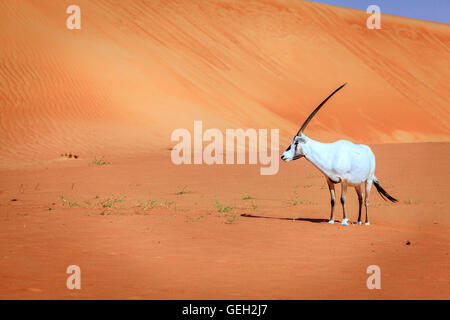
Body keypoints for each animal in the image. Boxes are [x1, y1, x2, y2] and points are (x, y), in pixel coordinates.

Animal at [282, 84, 398, 226]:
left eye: (296, 142)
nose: (283, 156)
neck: (329, 154)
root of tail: (369, 151)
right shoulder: (329, 180)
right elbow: (333, 199)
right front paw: (331, 220)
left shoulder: (344, 179)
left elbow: (343, 198)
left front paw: (344, 220)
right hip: (357, 183)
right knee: (360, 198)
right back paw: (358, 221)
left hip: (369, 179)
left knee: (366, 199)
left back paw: (366, 222)